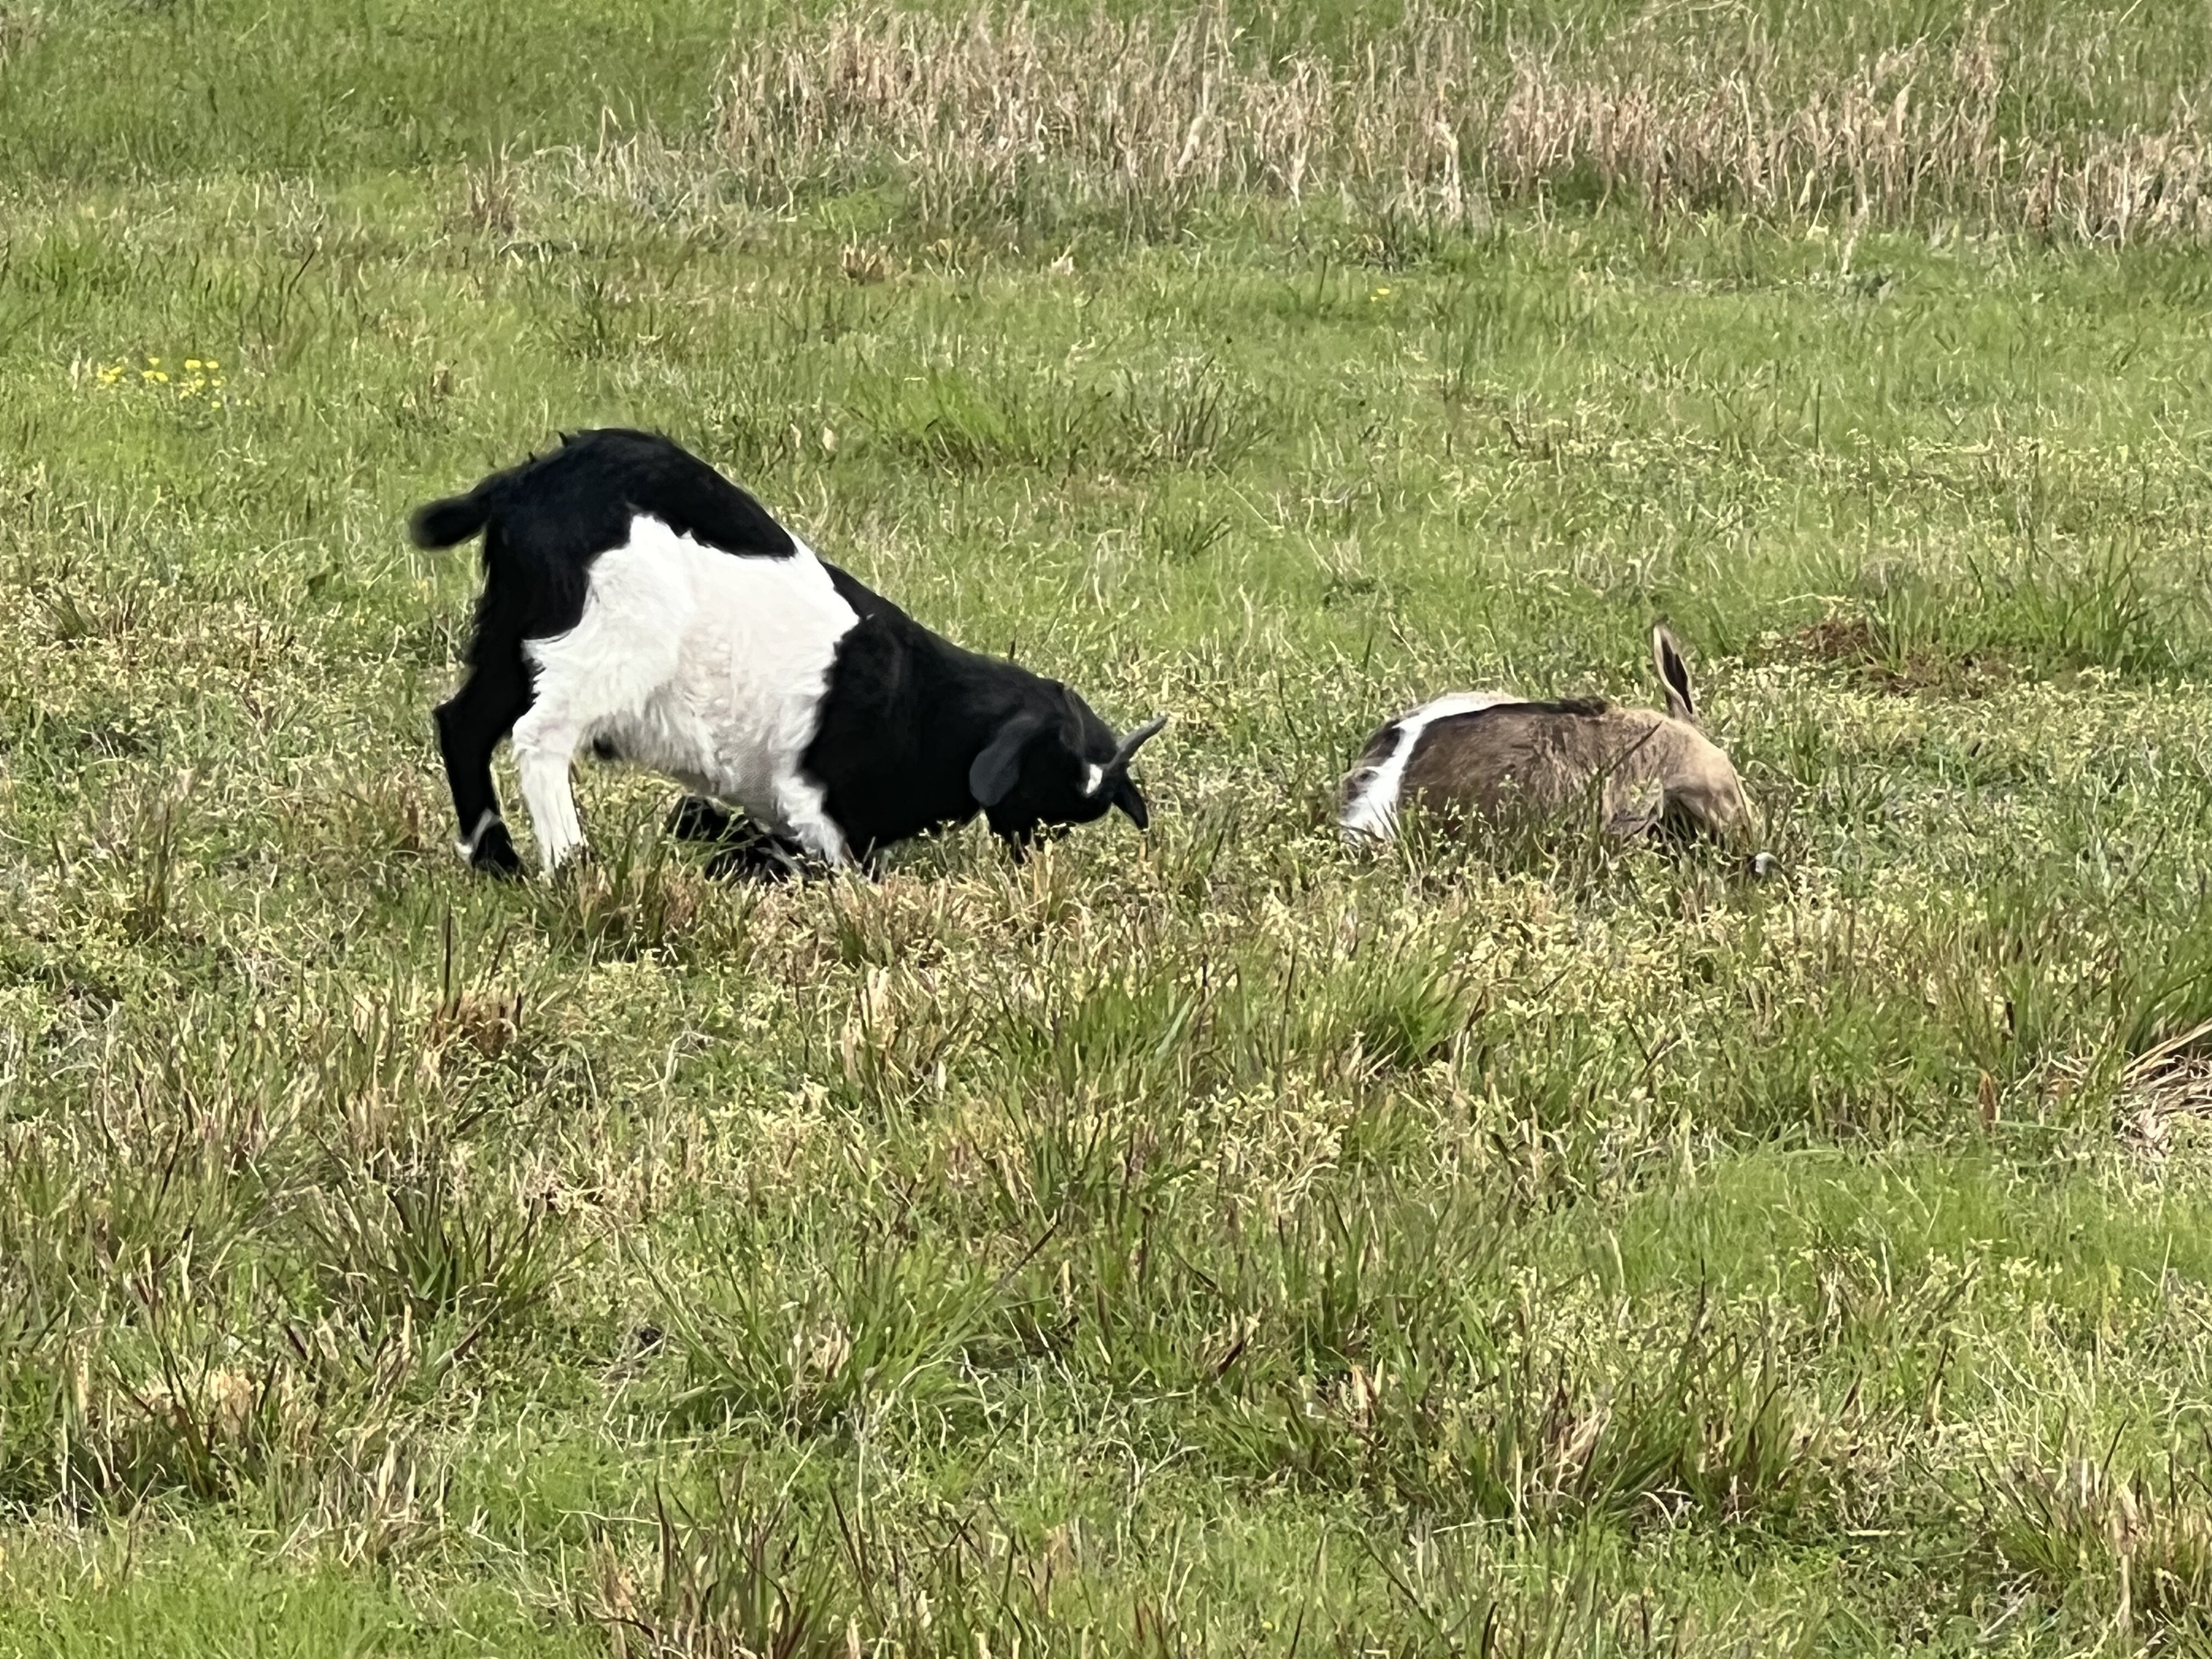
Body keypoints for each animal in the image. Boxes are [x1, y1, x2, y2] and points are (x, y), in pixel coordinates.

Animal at [410, 428, 1166, 878]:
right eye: (1041, 784)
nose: (1027, 867)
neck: (925, 706)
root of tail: (521, 485)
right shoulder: (820, 813)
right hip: (610, 640)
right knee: (540, 736)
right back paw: (570, 864)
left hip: (515, 636)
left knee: (463, 722)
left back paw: (496, 860)